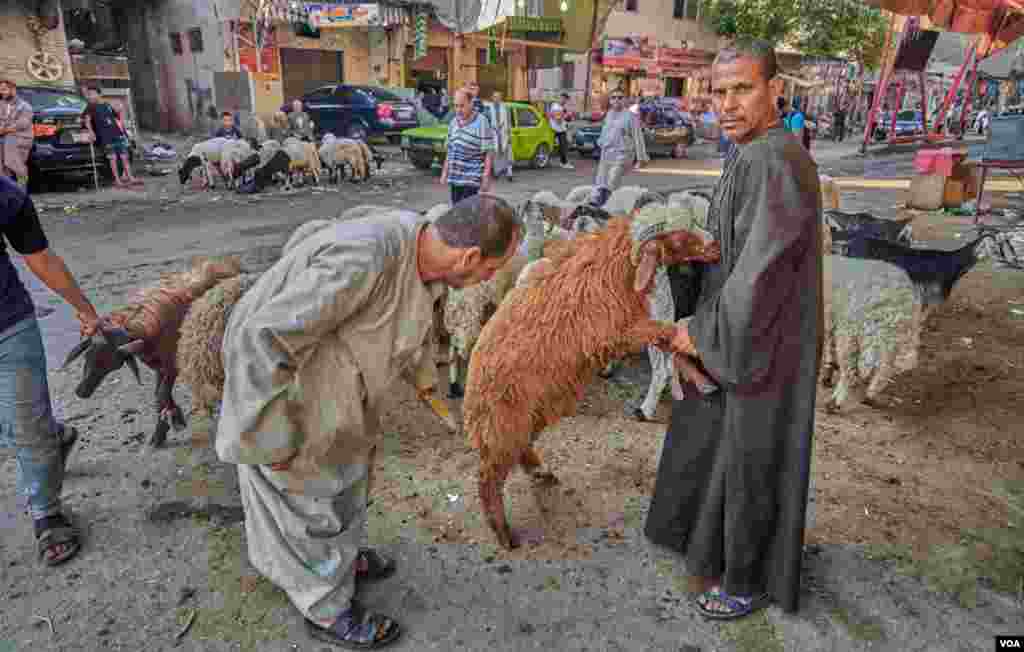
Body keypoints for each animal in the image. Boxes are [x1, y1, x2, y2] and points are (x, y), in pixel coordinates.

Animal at [464, 206, 720, 544]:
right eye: (678, 238)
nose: (716, 247)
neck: (613, 265)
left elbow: (668, 344)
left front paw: (703, 379)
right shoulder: (617, 332)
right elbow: (663, 332)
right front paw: (692, 356)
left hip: (531, 412)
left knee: (520, 450)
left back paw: (541, 473)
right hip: (503, 421)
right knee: (488, 476)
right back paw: (504, 533)